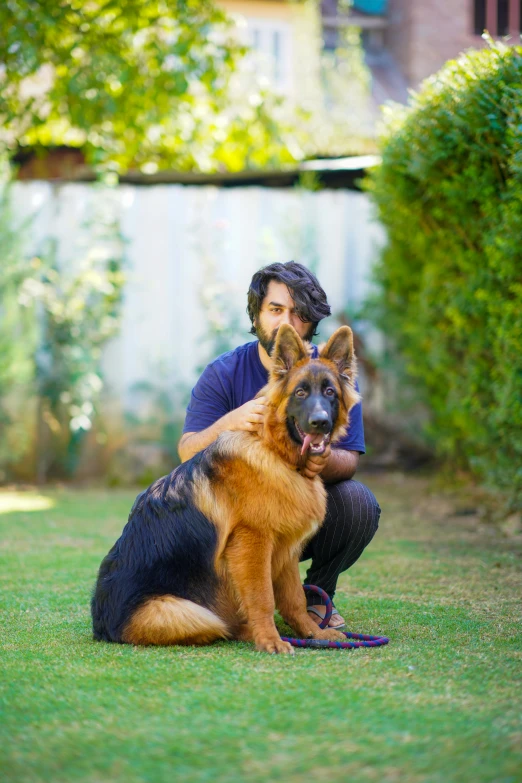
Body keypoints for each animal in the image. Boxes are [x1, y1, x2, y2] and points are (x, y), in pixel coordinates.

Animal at [90, 324, 358, 656]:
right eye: (300, 392)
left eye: (330, 392)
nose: (319, 423)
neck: (273, 450)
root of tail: (101, 626)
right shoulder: (252, 544)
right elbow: (262, 597)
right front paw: (270, 639)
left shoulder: (286, 548)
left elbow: (295, 599)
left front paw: (313, 633)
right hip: (191, 612)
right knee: (219, 625)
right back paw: (247, 631)